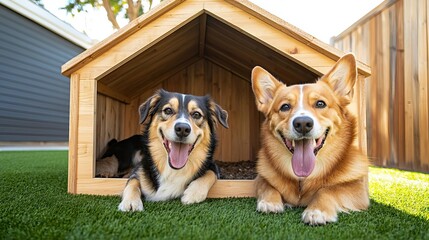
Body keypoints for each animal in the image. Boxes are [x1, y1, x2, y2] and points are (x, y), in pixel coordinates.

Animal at [251, 53, 368, 225]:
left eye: (320, 104)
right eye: (285, 107)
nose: (303, 124)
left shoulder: (359, 190)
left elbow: (328, 190)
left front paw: (316, 211)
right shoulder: (261, 178)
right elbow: (268, 186)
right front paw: (270, 202)